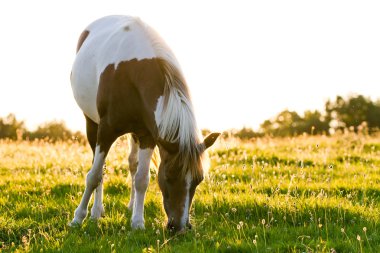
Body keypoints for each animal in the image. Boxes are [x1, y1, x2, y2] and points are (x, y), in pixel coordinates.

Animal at [68, 15, 220, 233]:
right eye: (170, 176)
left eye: (198, 180)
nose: (180, 227)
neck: (132, 72)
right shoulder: (106, 131)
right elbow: (94, 175)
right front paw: (78, 218)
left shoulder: (148, 136)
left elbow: (142, 179)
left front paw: (138, 222)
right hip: (92, 124)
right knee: (99, 169)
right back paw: (96, 212)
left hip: (135, 133)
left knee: (133, 165)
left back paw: (131, 206)